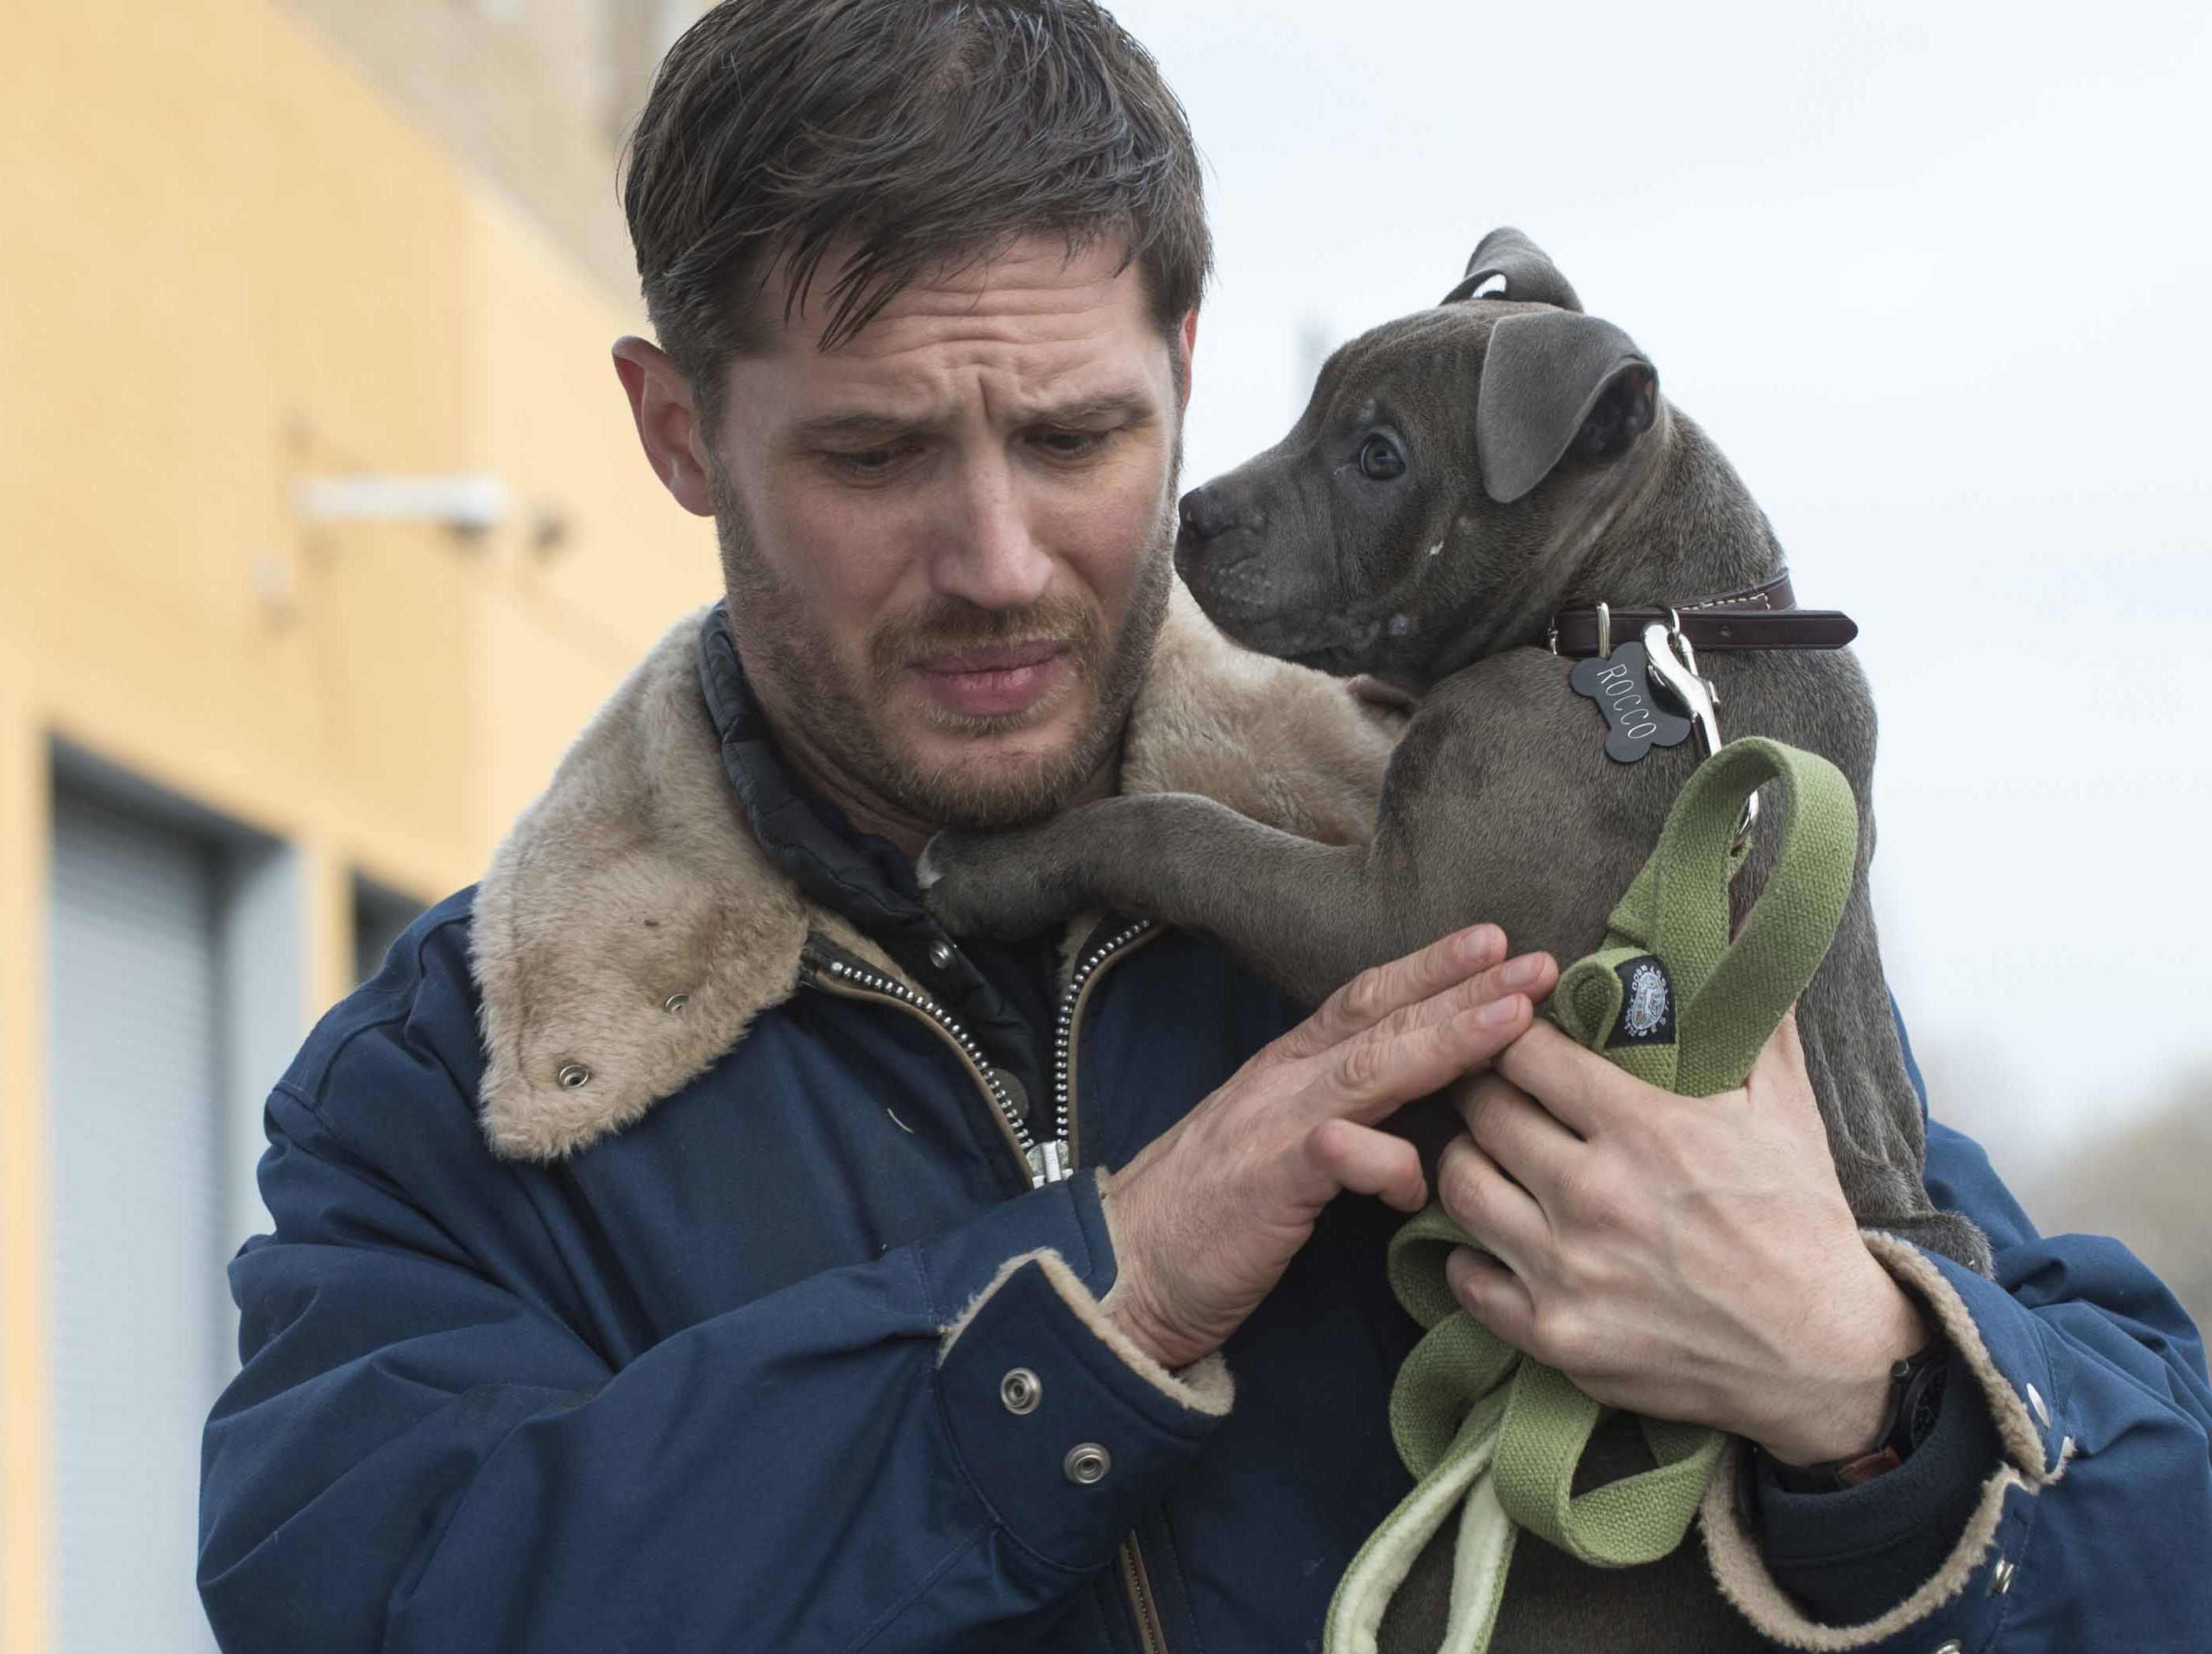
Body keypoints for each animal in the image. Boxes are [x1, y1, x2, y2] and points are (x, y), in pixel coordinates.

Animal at [924, 226, 1999, 1273]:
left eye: (1379, 457)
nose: (1194, 513)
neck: (1643, 619)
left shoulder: (1401, 922)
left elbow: (1183, 832)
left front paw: (992, 868)